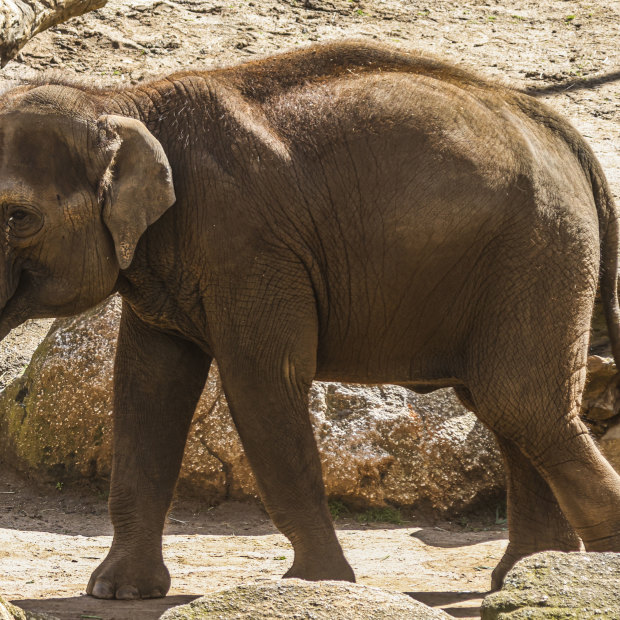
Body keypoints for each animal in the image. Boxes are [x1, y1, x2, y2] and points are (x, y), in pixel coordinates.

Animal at [1, 40, 620, 600]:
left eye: (17, 217)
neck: (124, 100)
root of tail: (561, 130)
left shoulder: (247, 245)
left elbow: (262, 384)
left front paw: (316, 584)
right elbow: (147, 389)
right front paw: (118, 592)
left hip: (538, 253)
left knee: (521, 404)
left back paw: (577, 574)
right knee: (506, 410)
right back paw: (526, 577)